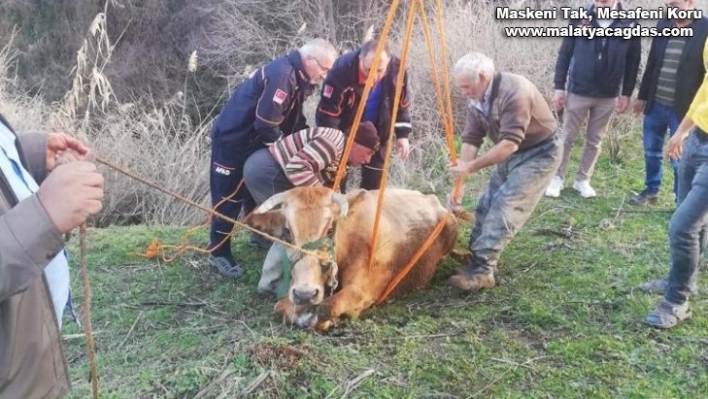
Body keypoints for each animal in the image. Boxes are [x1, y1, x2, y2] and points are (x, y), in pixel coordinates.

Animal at [245, 186, 460, 332]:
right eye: (287, 232)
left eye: (330, 230)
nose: (305, 294)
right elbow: (280, 307)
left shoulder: (361, 292)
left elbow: (327, 307)